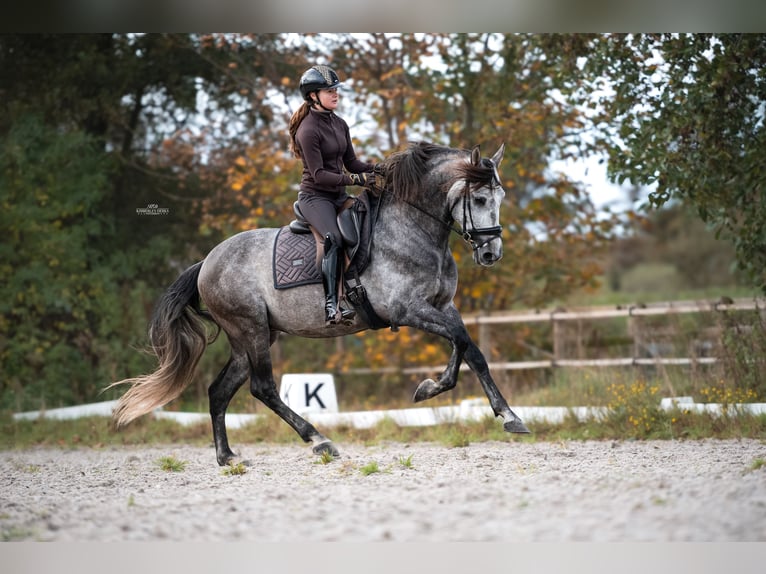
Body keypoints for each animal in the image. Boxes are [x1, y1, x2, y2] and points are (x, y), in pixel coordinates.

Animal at [111, 141, 532, 468]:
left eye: (500, 198)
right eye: (479, 198)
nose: (491, 253)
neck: (414, 228)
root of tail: (207, 261)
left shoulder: (443, 307)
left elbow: (471, 349)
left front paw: (506, 415)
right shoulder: (408, 310)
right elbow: (460, 340)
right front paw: (432, 388)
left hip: (250, 338)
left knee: (219, 391)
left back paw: (227, 456)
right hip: (251, 329)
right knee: (263, 388)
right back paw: (319, 441)